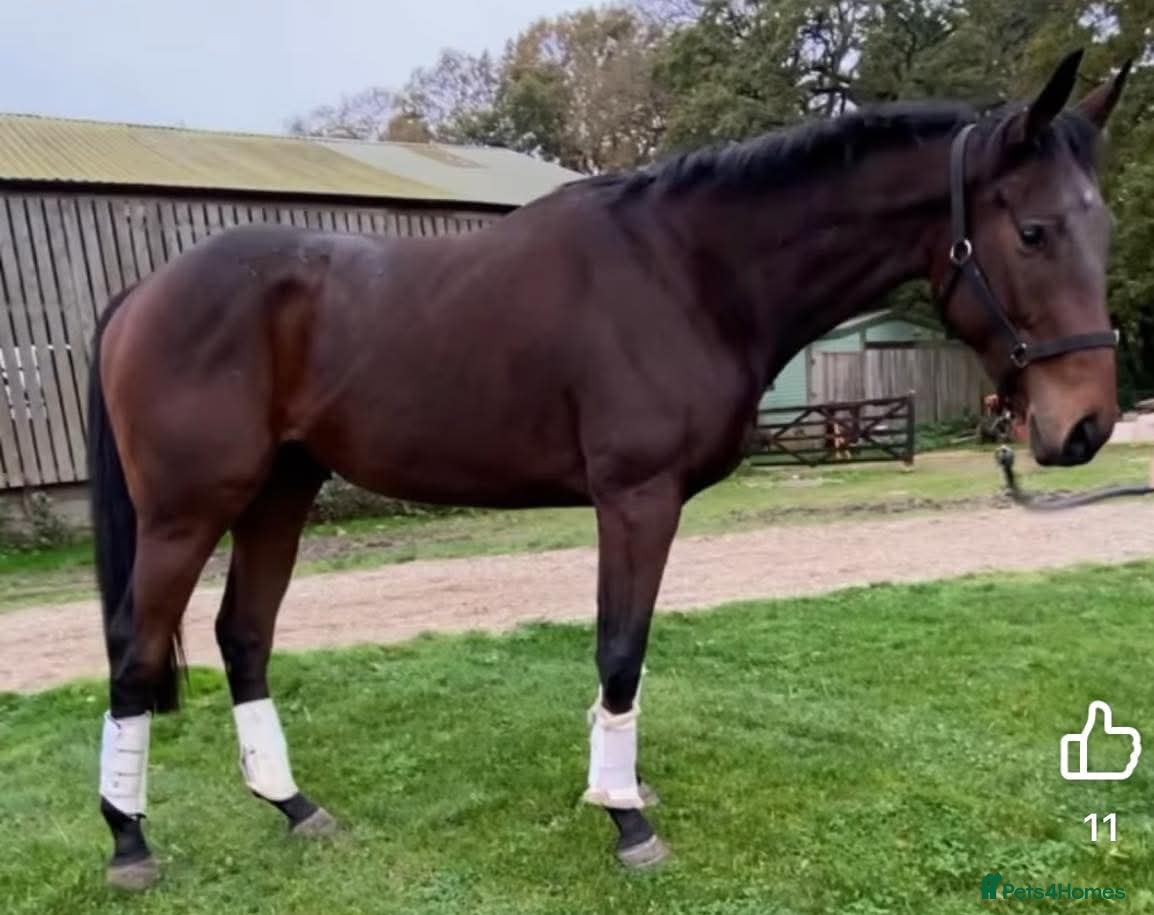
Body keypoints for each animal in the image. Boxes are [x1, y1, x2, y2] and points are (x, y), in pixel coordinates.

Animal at [88, 49, 1129, 888]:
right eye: (1033, 232)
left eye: (1104, 227)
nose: (1084, 426)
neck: (690, 271)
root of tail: (143, 291)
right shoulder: (635, 497)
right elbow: (619, 648)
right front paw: (626, 818)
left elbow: (628, 652)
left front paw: (619, 784)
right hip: (188, 510)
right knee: (136, 648)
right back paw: (129, 841)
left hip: (279, 492)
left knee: (243, 637)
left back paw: (293, 806)